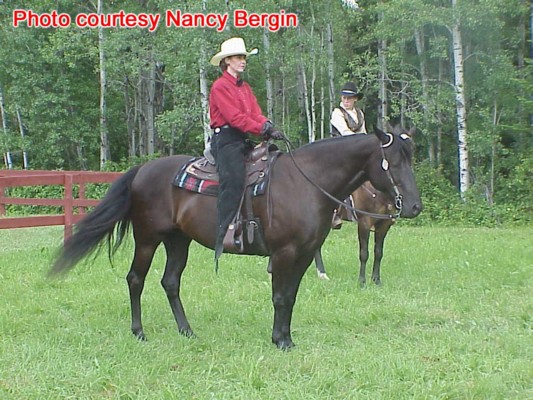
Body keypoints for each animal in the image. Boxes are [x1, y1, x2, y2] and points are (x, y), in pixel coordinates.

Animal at [52, 126, 422, 350]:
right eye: (390, 163)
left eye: (411, 159)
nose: (414, 206)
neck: (305, 183)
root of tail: (143, 170)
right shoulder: (284, 253)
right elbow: (280, 297)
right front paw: (280, 341)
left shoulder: (305, 254)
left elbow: (291, 296)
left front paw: (286, 337)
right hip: (147, 239)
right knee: (135, 279)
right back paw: (139, 332)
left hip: (178, 241)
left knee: (170, 282)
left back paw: (187, 331)